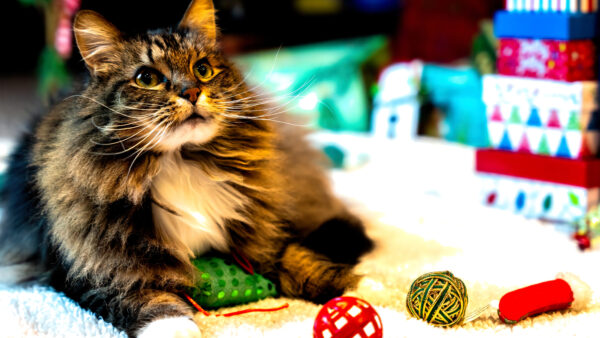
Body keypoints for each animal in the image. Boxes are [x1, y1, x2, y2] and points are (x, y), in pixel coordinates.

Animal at [0, 1, 372, 336]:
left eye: (203, 70)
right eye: (147, 78)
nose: (192, 91)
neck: (179, 161)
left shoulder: (261, 231)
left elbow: (297, 256)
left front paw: (357, 290)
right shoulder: (86, 271)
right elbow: (147, 299)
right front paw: (176, 327)